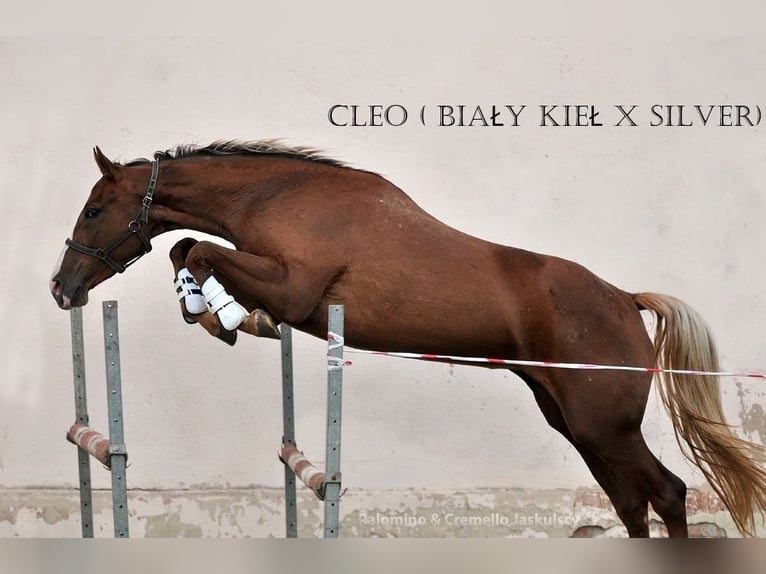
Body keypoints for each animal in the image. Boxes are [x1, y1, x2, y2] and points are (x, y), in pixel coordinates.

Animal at [49, 140, 766, 537]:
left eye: (93, 209)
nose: (63, 287)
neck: (278, 194)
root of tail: (625, 301)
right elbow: (185, 248)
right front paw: (213, 310)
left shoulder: (295, 288)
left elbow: (199, 251)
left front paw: (219, 314)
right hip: (577, 426)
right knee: (632, 504)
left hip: (604, 427)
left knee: (666, 495)